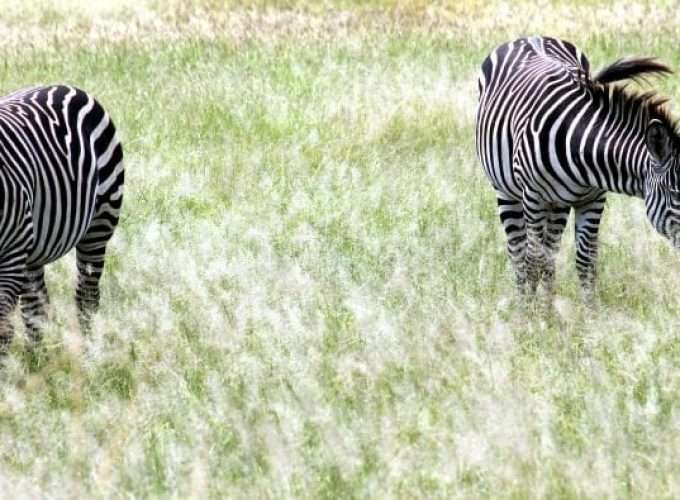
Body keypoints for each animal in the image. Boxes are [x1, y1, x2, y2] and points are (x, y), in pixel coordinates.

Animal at [0, 85, 124, 352]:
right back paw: (37, 358)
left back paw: (88, 354)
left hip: (99, 224)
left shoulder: (12, 252)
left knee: (86, 297)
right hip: (33, 250)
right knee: (36, 308)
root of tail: (60, 86)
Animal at [476, 37, 676, 298]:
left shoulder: (594, 199)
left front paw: (589, 309)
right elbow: (533, 261)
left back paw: (547, 305)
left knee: (550, 254)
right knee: (519, 254)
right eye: (674, 193)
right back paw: (525, 303)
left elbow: (586, 262)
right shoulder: (533, 197)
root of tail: (532, 37)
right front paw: (531, 311)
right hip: (507, 191)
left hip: (559, 204)